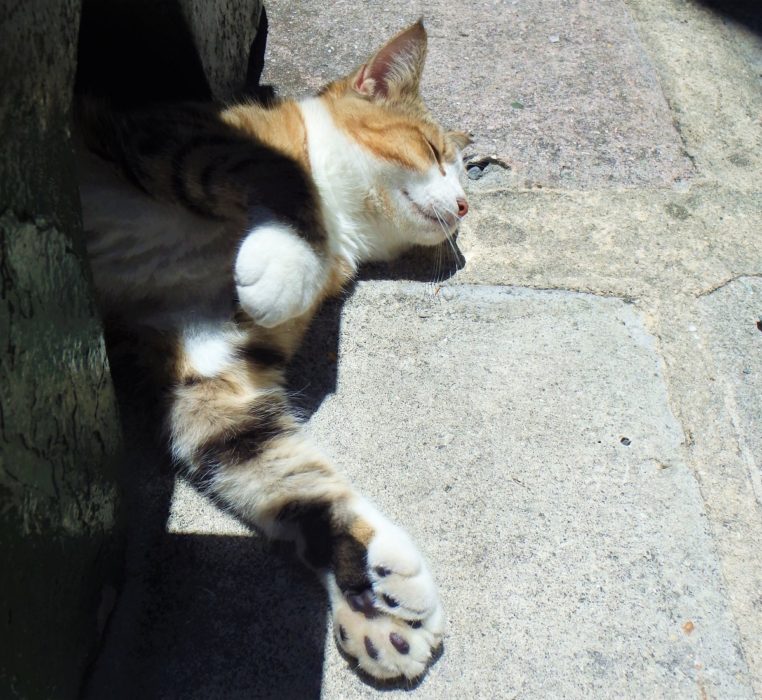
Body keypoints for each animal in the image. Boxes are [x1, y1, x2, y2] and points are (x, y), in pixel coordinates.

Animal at [77, 21, 470, 684]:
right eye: (434, 151)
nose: (466, 206)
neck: (345, 229)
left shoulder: (209, 375)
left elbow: (281, 472)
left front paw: (375, 598)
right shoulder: (175, 134)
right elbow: (286, 178)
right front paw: (284, 267)